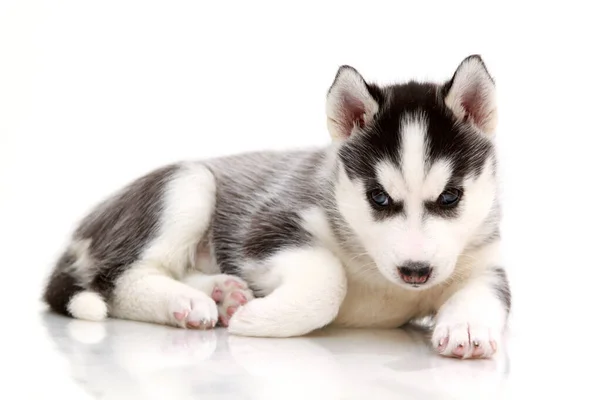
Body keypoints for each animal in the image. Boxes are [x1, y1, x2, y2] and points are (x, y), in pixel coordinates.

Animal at [43, 54, 510, 360]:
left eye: (450, 197)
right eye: (378, 197)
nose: (415, 272)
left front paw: (468, 326)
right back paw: (188, 302)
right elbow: (328, 277)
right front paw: (260, 319)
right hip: (188, 184)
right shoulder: (266, 226)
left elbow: (488, 291)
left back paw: (221, 293)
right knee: (117, 279)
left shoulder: (484, 261)